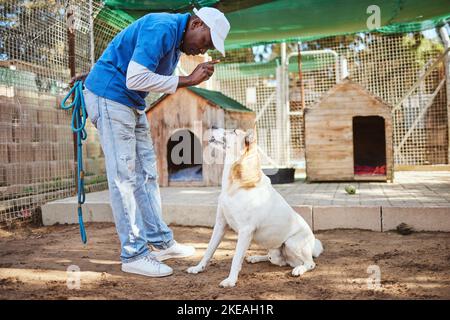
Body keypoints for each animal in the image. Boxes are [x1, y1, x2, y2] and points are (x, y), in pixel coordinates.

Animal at [186, 127, 324, 288]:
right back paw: (256, 257)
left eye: (233, 131)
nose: (213, 126)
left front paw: (231, 281)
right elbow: (208, 250)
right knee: (279, 261)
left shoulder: (245, 231)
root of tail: (312, 245)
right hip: (274, 253)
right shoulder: (220, 225)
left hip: (292, 243)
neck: (234, 183)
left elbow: (235, 258)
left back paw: (299, 269)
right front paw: (198, 268)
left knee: (310, 263)